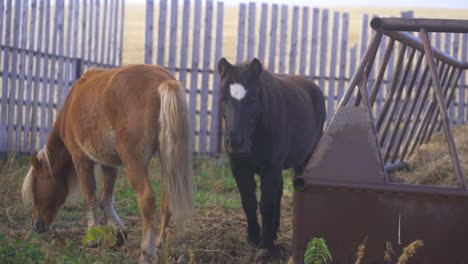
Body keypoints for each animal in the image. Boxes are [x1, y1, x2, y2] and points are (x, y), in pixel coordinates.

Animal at [20, 64, 194, 264]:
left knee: (147, 199)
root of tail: (163, 80)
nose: (36, 225)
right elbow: (106, 199)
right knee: (167, 197)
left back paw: (146, 252)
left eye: (35, 187)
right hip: (167, 159)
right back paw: (159, 242)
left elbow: (90, 198)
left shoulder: (81, 160)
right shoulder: (109, 164)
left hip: (134, 163)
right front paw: (117, 233)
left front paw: (93, 238)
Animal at [217, 57, 324, 258]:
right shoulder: (239, 167)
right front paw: (253, 237)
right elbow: (249, 201)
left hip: (303, 160)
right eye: (223, 98)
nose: (235, 141)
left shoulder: (270, 168)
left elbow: (266, 204)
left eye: (253, 98)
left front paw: (265, 246)